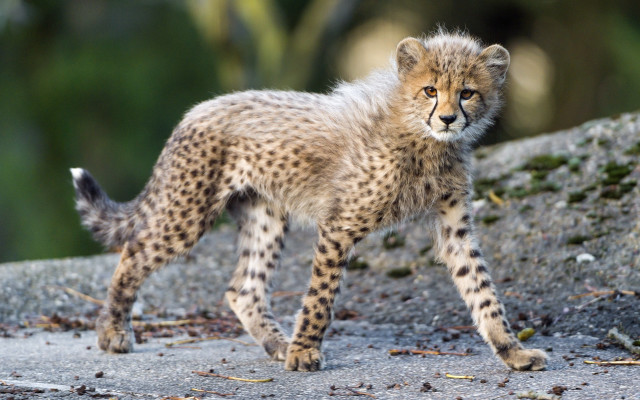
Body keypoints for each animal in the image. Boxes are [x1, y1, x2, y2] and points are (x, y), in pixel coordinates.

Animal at [71, 30, 548, 372]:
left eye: (467, 92)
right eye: (430, 90)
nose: (448, 118)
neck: (425, 141)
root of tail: (197, 110)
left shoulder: (454, 227)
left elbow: (481, 290)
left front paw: (513, 351)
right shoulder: (340, 224)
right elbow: (321, 295)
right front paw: (305, 352)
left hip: (265, 215)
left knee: (242, 289)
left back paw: (277, 344)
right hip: (188, 211)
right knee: (134, 253)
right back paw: (113, 333)